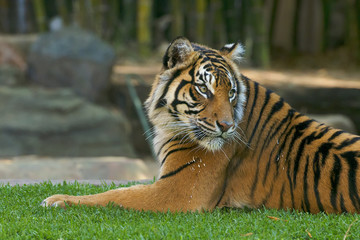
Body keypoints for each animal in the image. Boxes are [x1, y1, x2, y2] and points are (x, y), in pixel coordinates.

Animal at [42, 36, 360, 213]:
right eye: (204, 89)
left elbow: (116, 194)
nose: (227, 126)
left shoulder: (179, 191)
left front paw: (57, 200)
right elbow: (125, 187)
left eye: (230, 92)